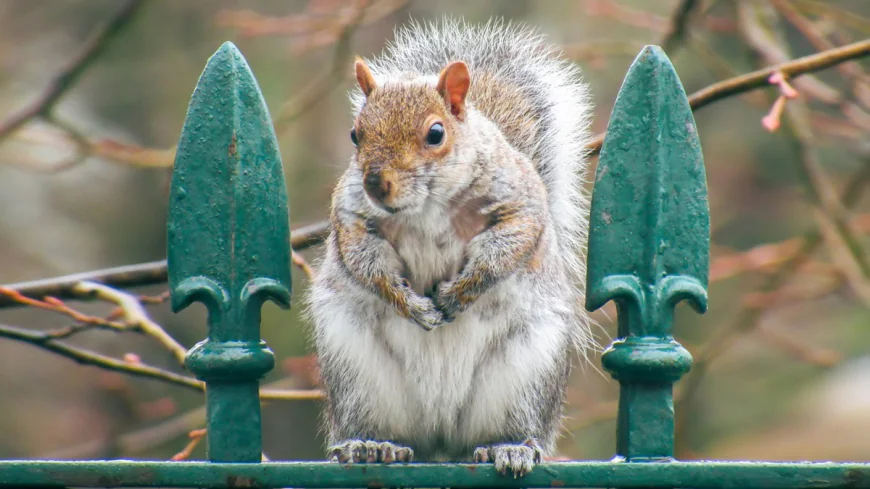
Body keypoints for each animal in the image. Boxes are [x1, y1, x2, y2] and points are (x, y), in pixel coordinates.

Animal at [305, 18, 595, 478]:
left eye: (435, 133)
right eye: (355, 134)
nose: (375, 183)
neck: (425, 206)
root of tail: (441, 437)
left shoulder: (520, 202)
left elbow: (508, 245)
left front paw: (458, 293)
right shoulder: (352, 216)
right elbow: (365, 262)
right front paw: (412, 305)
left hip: (527, 372)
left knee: (511, 428)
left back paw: (508, 448)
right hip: (354, 371)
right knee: (379, 427)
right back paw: (370, 445)